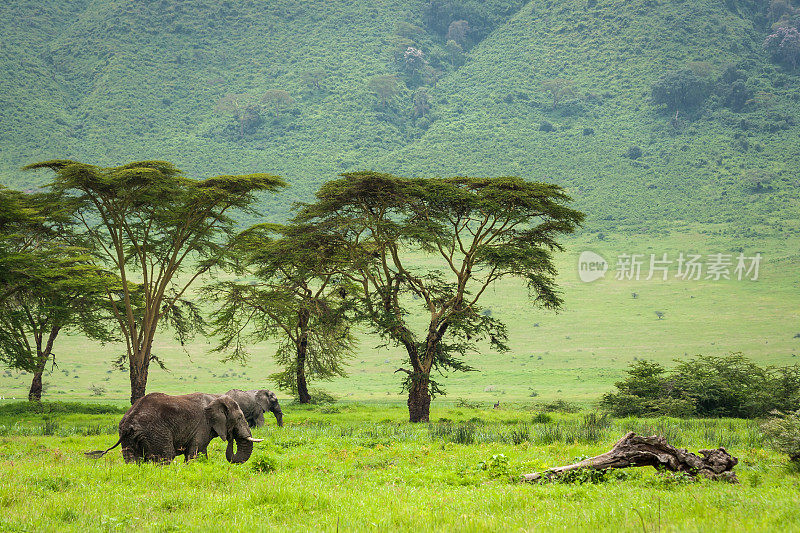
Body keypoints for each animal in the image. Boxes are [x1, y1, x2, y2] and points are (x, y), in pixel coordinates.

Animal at [87, 390, 262, 462]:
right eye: (239, 417)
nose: (231, 436)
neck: (216, 397)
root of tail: (130, 421)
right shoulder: (202, 426)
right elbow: (196, 453)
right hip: (156, 433)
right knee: (166, 456)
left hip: (127, 437)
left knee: (132, 459)